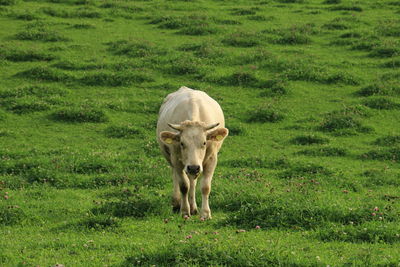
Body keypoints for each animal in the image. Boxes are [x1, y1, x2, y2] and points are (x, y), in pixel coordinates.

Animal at [158, 86, 230, 220]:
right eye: (182, 143)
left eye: (204, 143)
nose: (193, 167)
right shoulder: (176, 159)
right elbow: (183, 185)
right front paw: (184, 211)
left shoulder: (212, 159)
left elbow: (205, 186)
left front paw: (205, 213)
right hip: (171, 158)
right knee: (177, 177)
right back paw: (177, 203)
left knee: (193, 181)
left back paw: (193, 207)